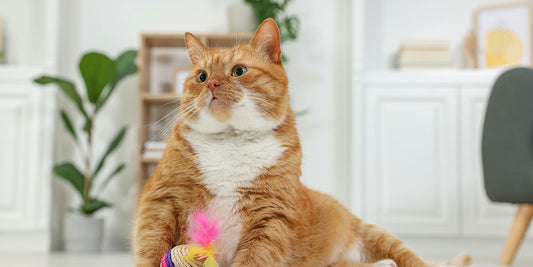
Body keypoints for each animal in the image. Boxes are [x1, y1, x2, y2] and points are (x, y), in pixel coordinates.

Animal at [132, 18, 470, 267]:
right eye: (201, 77)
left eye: (238, 71)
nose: (212, 84)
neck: (231, 141)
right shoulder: (162, 199)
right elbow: (151, 245)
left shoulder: (272, 216)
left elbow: (255, 257)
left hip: (376, 236)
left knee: (409, 258)